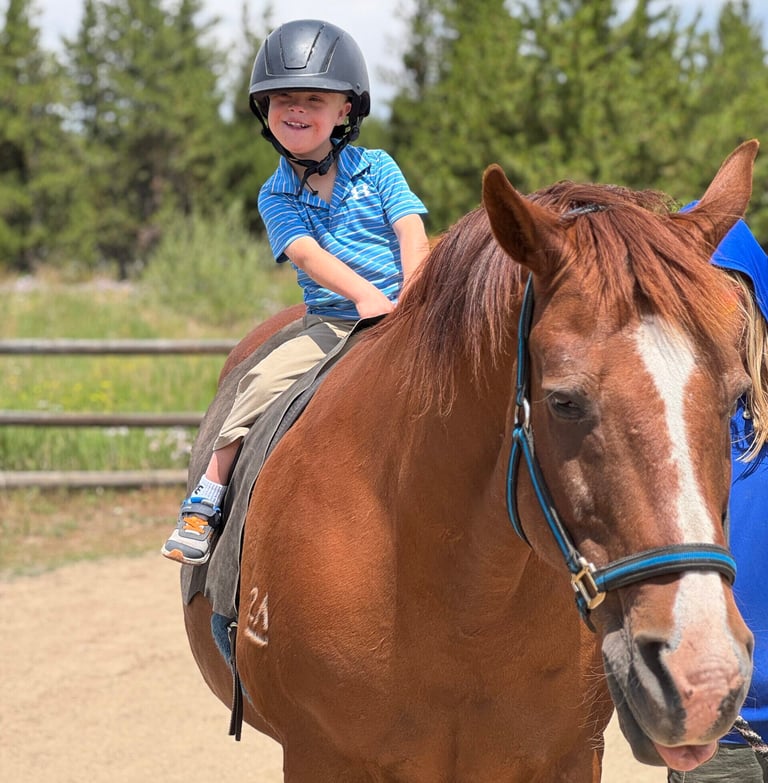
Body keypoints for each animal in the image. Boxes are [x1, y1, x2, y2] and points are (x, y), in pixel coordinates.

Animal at [182, 140, 758, 781]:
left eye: (737, 395)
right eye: (564, 402)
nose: (704, 676)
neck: (460, 600)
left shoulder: (573, 756)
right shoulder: (317, 757)